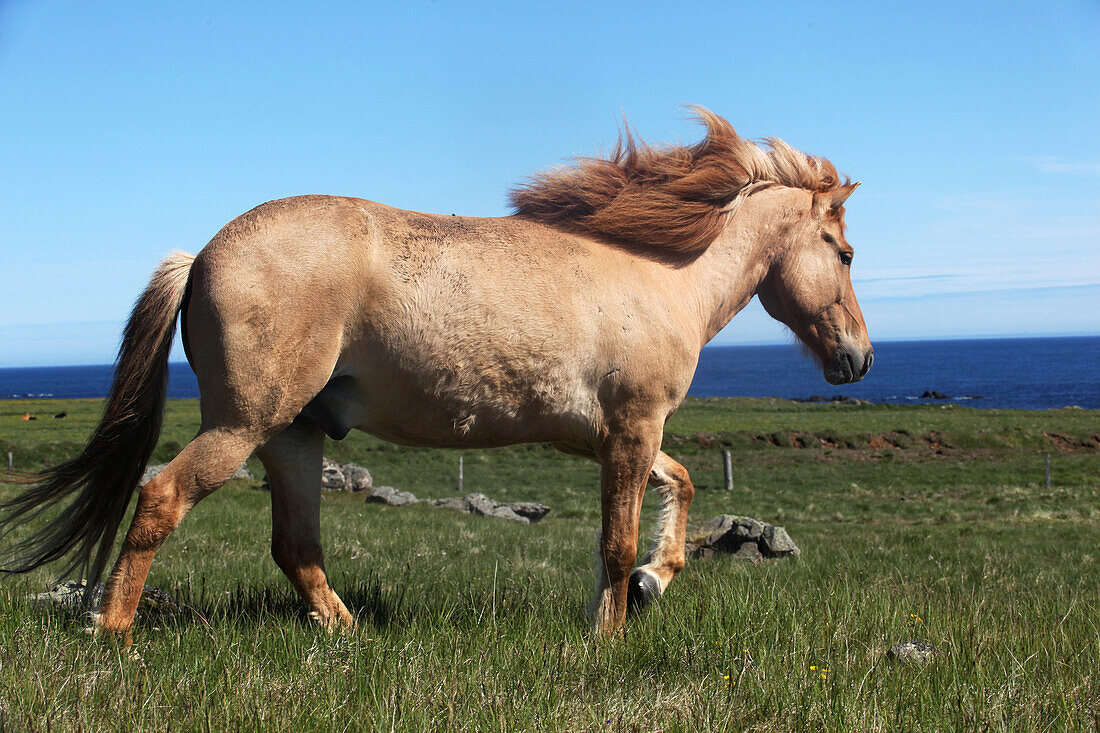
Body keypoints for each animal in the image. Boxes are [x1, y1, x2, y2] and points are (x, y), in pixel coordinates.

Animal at [2, 105, 875, 638]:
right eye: (843, 251)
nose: (858, 358)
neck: (660, 272)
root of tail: (202, 254)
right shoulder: (631, 428)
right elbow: (616, 542)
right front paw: (612, 629)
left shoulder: (617, 435)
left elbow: (683, 485)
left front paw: (654, 583)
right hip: (243, 424)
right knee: (161, 497)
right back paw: (112, 629)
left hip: (293, 435)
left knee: (296, 546)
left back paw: (350, 634)